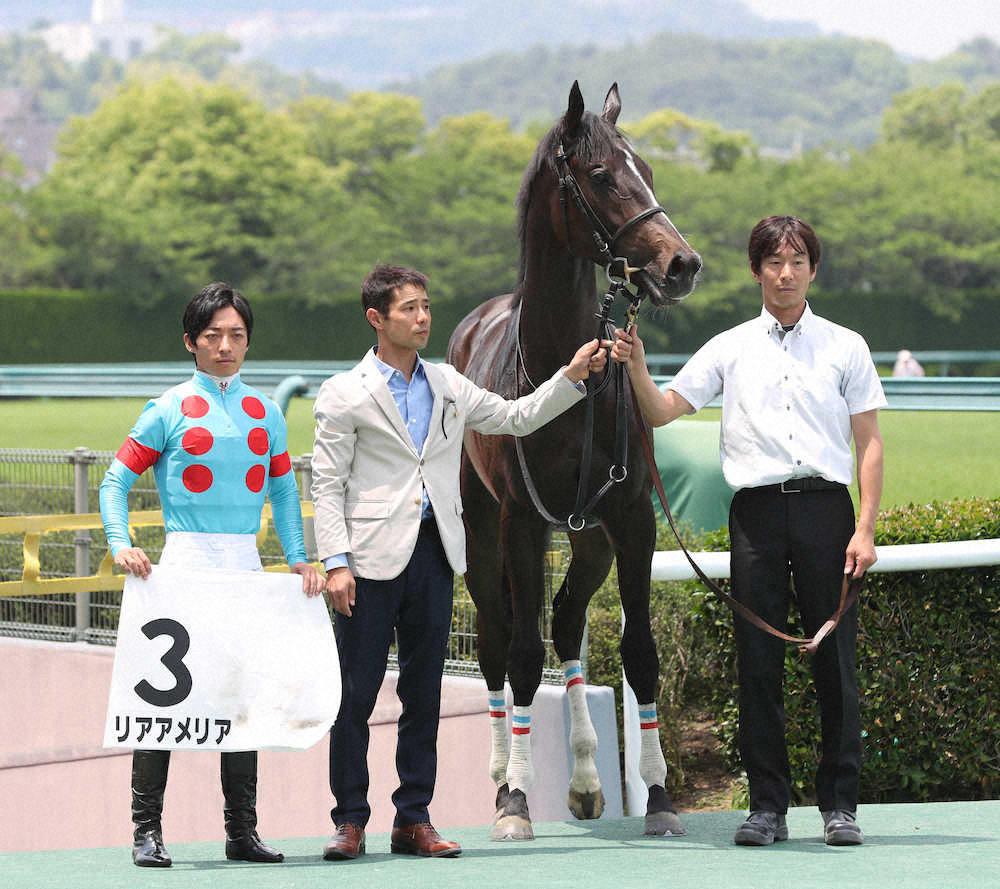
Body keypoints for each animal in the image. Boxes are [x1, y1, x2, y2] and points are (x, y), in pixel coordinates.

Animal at [446, 81, 702, 840]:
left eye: (648, 167)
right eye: (600, 175)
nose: (681, 264)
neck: (567, 376)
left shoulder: (631, 517)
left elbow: (640, 651)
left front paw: (660, 797)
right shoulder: (522, 522)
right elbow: (524, 657)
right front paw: (516, 802)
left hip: (590, 539)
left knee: (563, 619)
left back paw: (586, 780)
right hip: (482, 528)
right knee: (499, 640)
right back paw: (502, 773)